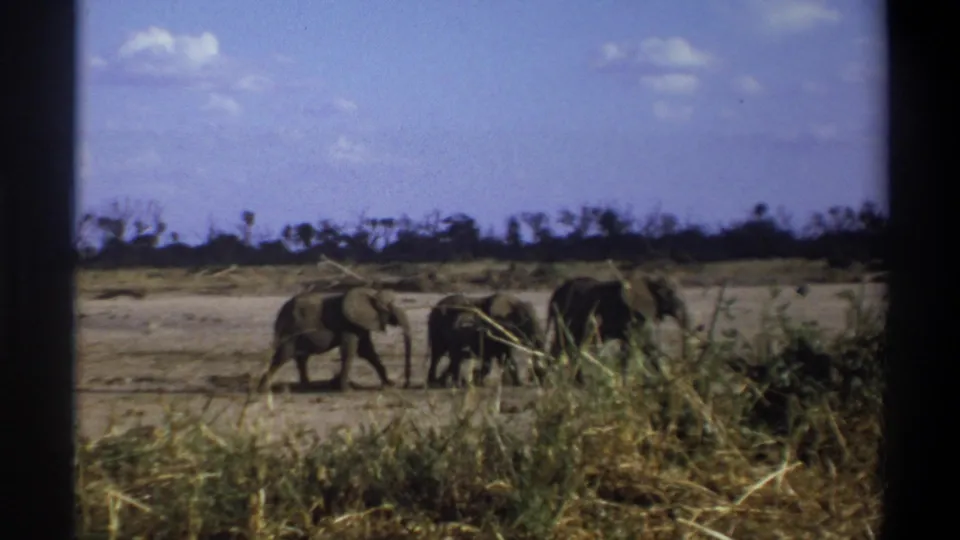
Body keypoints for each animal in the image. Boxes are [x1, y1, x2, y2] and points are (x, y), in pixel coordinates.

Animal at [256, 286, 413, 393]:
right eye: (389, 307)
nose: (404, 385)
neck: (370, 294)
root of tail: (280, 313)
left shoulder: (361, 324)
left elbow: (367, 352)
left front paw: (389, 385)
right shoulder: (348, 325)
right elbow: (350, 351)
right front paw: (346, 390)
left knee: (301, 358)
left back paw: (307, 387)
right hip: (291, 330)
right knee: (283, 355)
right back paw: (263, 389)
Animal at [540, 274, 693, 384]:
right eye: (670, 293)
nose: (683, 360)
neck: (649, 282)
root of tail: (554, 294)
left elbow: (640, 347)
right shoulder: (633, 316)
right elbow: (642, 345)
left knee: (571, 346)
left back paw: (575, 382)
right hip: (565, 316)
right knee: (564, 345)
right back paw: (551, 381)